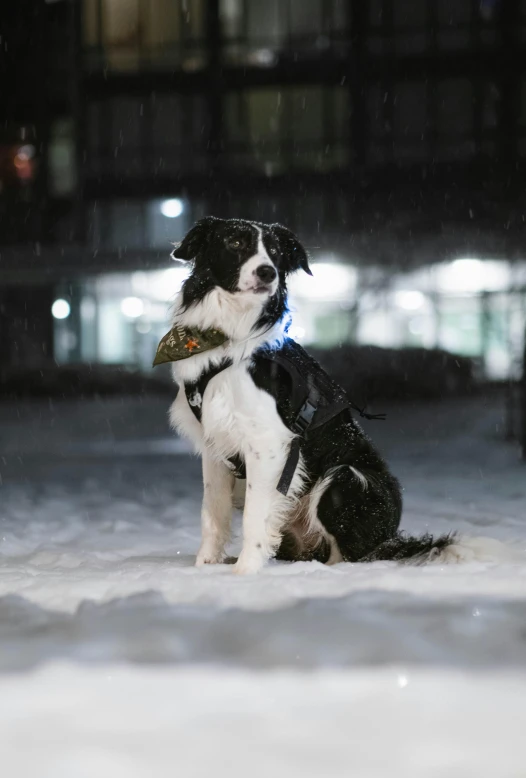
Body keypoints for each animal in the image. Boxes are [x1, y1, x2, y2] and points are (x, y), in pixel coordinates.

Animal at [163, 215, 456, 572]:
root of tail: (389, 538)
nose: (268, 273)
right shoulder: (215, 442)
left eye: (275, 252)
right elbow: (212, 510)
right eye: (235, 243)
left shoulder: (270, 444)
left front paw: (245, 570)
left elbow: (254, 515)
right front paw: (206, 566)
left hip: (345, 477)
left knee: (348, 555)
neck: (229, 337)